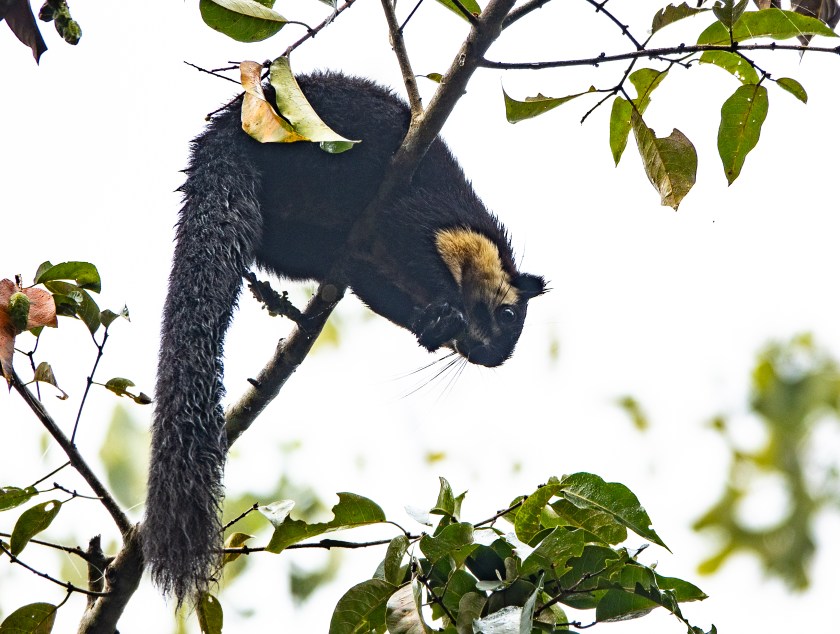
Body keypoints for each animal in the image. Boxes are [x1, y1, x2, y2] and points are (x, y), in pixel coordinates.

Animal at [142, 71, 546, 603]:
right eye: (507, 313)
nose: (482, 352)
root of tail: (228, 126)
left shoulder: (372, 268)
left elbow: (382, 294)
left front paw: (434, 325)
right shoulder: (426, 215)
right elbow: (412, 235)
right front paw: (446, 312)